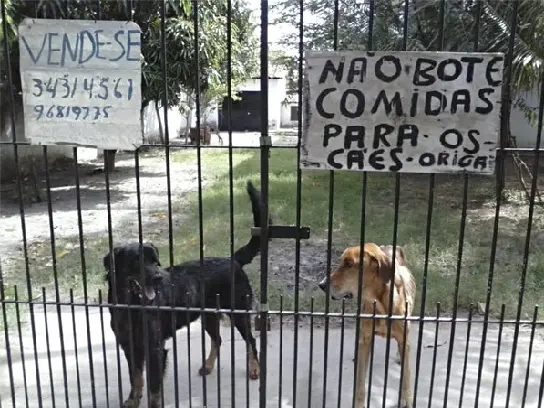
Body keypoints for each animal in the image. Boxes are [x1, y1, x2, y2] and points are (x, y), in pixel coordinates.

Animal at [103, 181, 268, 408]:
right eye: (137, 261)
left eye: (155, 261)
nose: (158, 278)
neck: (131, 306)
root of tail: (233, 259)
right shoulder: (129, 347)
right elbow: (135, 378)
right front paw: (132, 400)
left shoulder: (155, 349)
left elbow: (154, 387)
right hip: (209, 317)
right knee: (217, 340)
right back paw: (208, 366)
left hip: (239, 313)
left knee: (251, 341)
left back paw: (254, 369)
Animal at [318, 244, 416, 406]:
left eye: (349, 264)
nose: (322, 285)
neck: (380, 303)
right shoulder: (365, 340)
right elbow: (360, 381)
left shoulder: (403, 340)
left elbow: (406, 375)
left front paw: (406, 399)